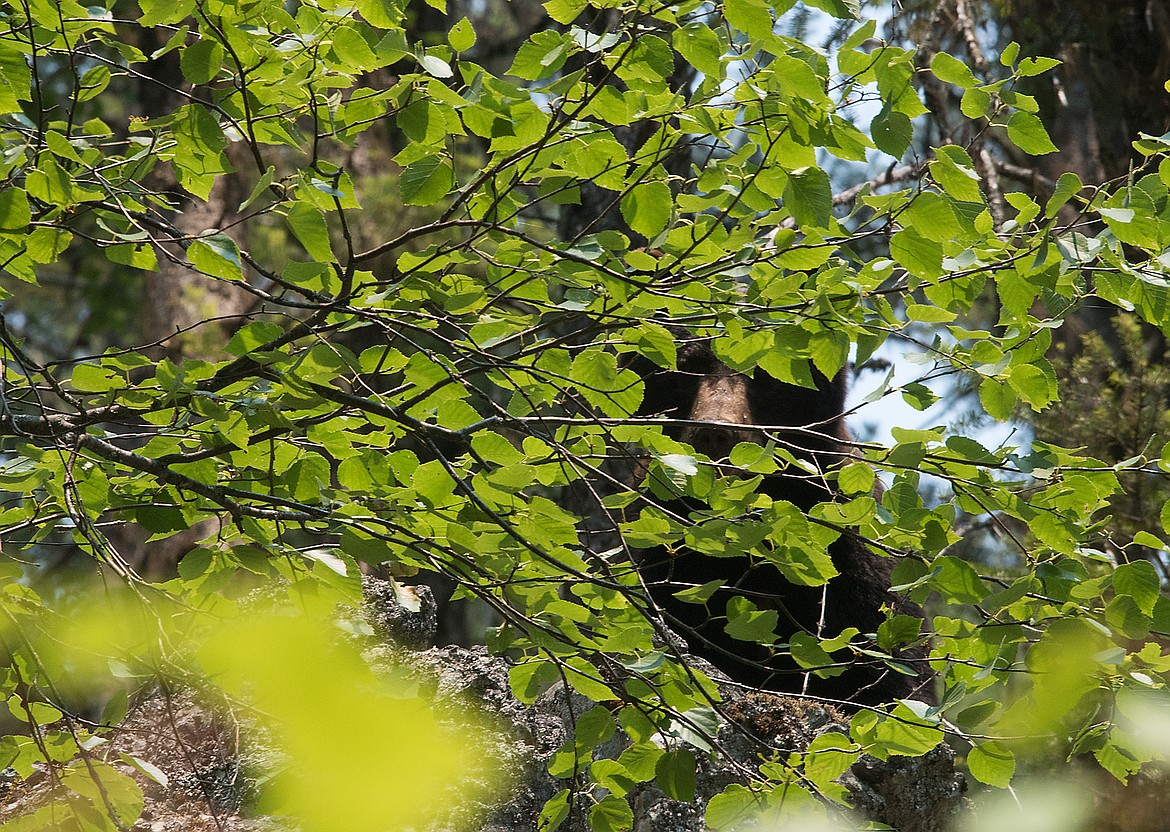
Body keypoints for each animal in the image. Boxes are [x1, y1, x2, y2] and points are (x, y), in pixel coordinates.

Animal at [631, 334, 931, 706]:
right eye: (685, 369)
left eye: (763, 373)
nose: (714, 432)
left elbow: (886, 659)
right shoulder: (663, 541)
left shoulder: (852, 551)